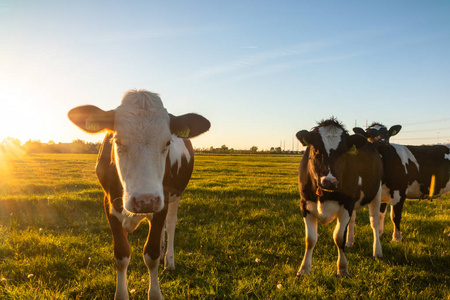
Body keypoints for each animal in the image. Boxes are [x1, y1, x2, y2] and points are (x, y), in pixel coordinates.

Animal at [68, 89, 211, 300]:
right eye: (117, 140)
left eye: (168, 142)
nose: (145, 201)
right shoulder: (109, 204)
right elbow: (121, 255)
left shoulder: (163, 199)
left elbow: (151, 255)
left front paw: (155, 291)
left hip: (175, 196)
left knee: (170, 224)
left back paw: (168, 260)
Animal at [296, 118, 384, 276]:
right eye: (316, 149)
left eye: (344, 151)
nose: (330, 181)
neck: (324, 195)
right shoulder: (305, 205)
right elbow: (310, 239)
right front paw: (304, 269)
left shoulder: (346, 205)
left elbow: (338, 237)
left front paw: (342, 268)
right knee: (353, 220)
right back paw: (350, 242)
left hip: (377, 193)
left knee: (374, 221)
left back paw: (377, 251)